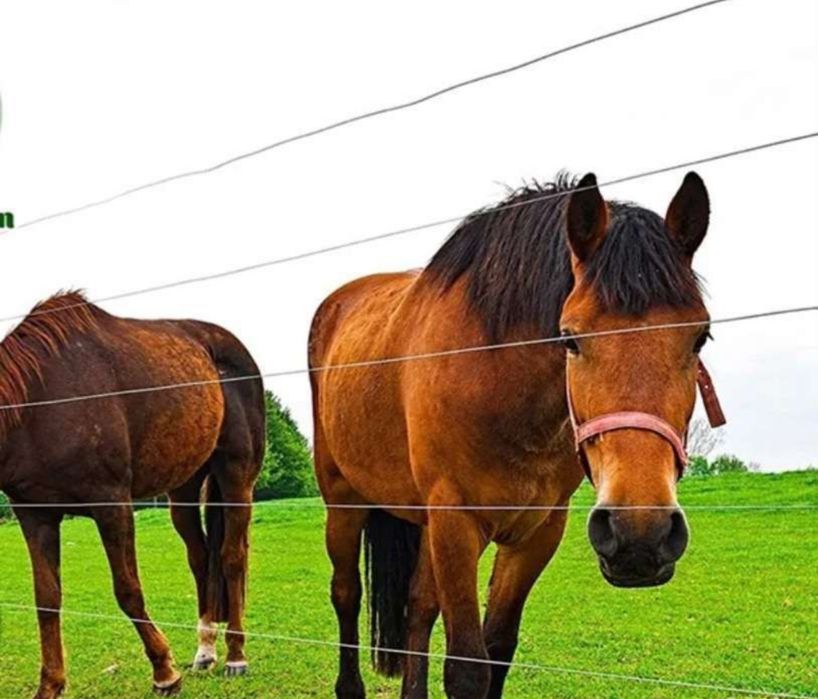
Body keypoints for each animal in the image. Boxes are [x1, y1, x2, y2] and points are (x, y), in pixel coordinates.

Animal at [0, 292, 265, 699]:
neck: (37, 404)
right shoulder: (34, 513)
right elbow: (47, 599)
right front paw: (50, 685)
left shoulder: (112, 504)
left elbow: (128, 590)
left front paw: (164, 672)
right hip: (184, 489)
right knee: (201, 558)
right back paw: (205, 651)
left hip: (237, 478)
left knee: (232, 558)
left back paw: (236, 655)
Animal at [309, 172, 719, 699]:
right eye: (569, 338)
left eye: (701, 336)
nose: (640, 533)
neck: (499, 385)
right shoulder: (455, 523)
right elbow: (467, 668)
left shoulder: (536, 532)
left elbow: (498, 647)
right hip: (344, 501)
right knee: (346, 593)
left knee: (419, 606)